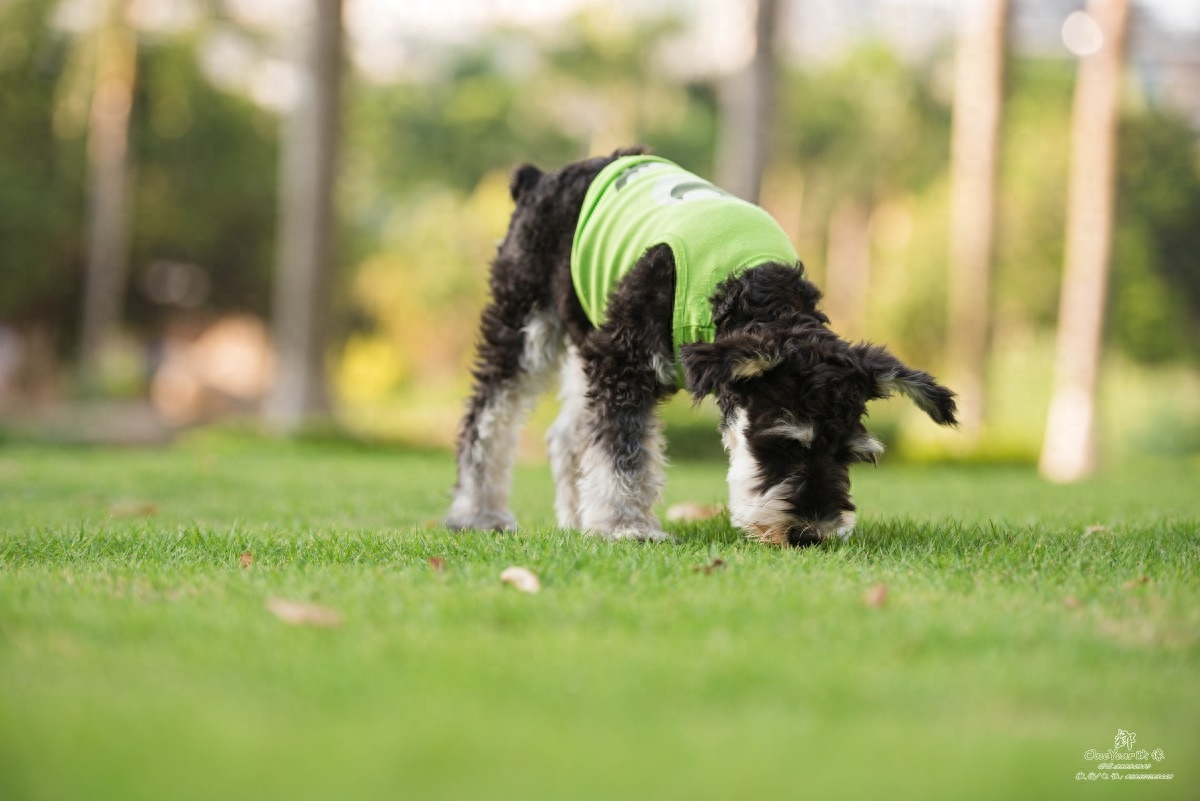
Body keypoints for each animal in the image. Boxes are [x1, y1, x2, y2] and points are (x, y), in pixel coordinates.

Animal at [444, 145, 955, 544]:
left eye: (848, 455)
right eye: (781, 446)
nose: (809, 535)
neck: (745, 285)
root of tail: (539, 179)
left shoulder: (609, 356)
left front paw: (611, 524)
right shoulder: (622, 361)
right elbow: (623, 450)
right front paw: (627, 527)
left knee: (569, 433)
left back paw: (575, 519)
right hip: (522, 323)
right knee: (488, 418)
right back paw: (479, 514)